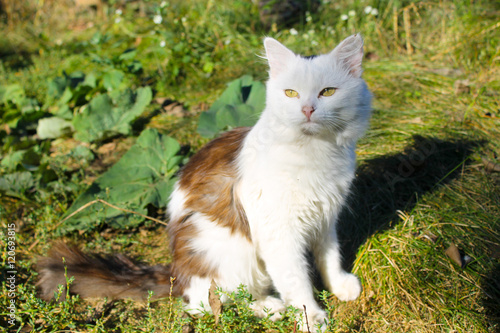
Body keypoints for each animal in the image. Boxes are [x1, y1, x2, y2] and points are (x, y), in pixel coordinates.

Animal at [38, 35, 372, 330]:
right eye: (290, 93)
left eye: (327, 92)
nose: (307, 109)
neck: (316, 153)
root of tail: (175, 274)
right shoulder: (279, 232)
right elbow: (297, 282)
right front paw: (311, 318)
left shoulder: (325, 215)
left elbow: (329, 257)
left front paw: (340, 286)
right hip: (224, 253)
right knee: (211, 304)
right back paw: (270, 307)